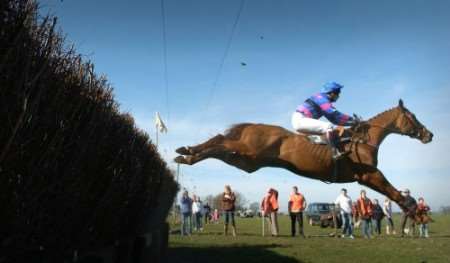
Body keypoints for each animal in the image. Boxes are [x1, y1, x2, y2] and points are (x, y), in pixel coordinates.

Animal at [175, 100, 432, 216]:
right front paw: (411, 206)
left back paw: (186, 154)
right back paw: (186, 151)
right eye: (412, 116)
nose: (428, 134)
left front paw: (411, 208)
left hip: (246, 160)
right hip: (249, 150)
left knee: (217, 148)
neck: (364, 139)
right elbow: (390, 189)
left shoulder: (366, 178)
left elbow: (390, 190)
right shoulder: (368, 175)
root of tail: (254, 126)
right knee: (219, 140)